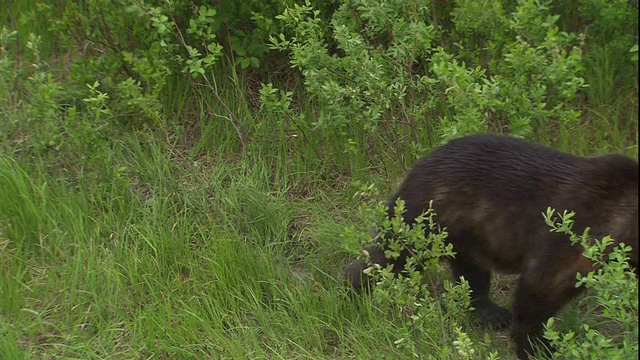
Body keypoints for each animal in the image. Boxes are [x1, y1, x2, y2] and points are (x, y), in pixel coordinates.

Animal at [348, 134, 636, 358]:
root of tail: (417, 165)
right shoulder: (578, 235)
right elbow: (540, 289)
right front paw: (537, 347)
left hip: (469, 234)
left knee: (471, 274)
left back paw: (491, 312)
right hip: (426, 221)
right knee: (390, 256)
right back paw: (354, 292)